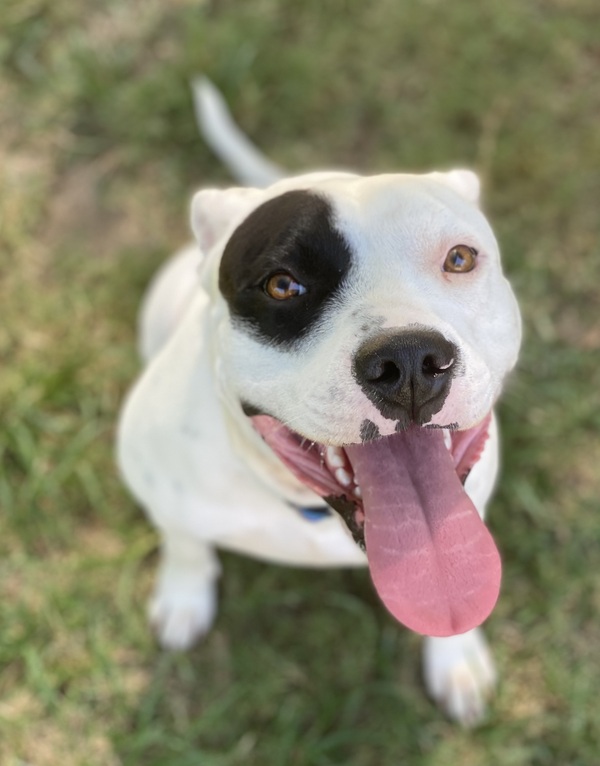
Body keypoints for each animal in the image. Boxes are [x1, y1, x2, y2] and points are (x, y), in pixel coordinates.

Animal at [117, 79, 521, 726]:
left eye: (460, 258)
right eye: (282, 284)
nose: (410, 361)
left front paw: (456, 660)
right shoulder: (157, 481)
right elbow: (184, 541)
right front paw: (183, 596)